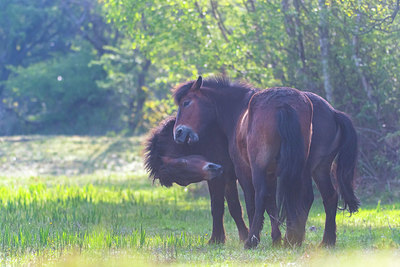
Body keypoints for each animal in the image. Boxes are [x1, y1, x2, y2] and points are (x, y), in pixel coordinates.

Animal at [172, 77, 360, 249]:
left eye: (186, 103)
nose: (178, 132)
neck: (239, 111)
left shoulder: (242, 171)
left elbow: (249, 203)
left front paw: (252, 237)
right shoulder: (271, 173)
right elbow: (272, 206)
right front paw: (276, 238)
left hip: (264, 166)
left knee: (266, 195)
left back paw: (257, 240)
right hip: (316, 168)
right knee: (325, 196)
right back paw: (319, 240)